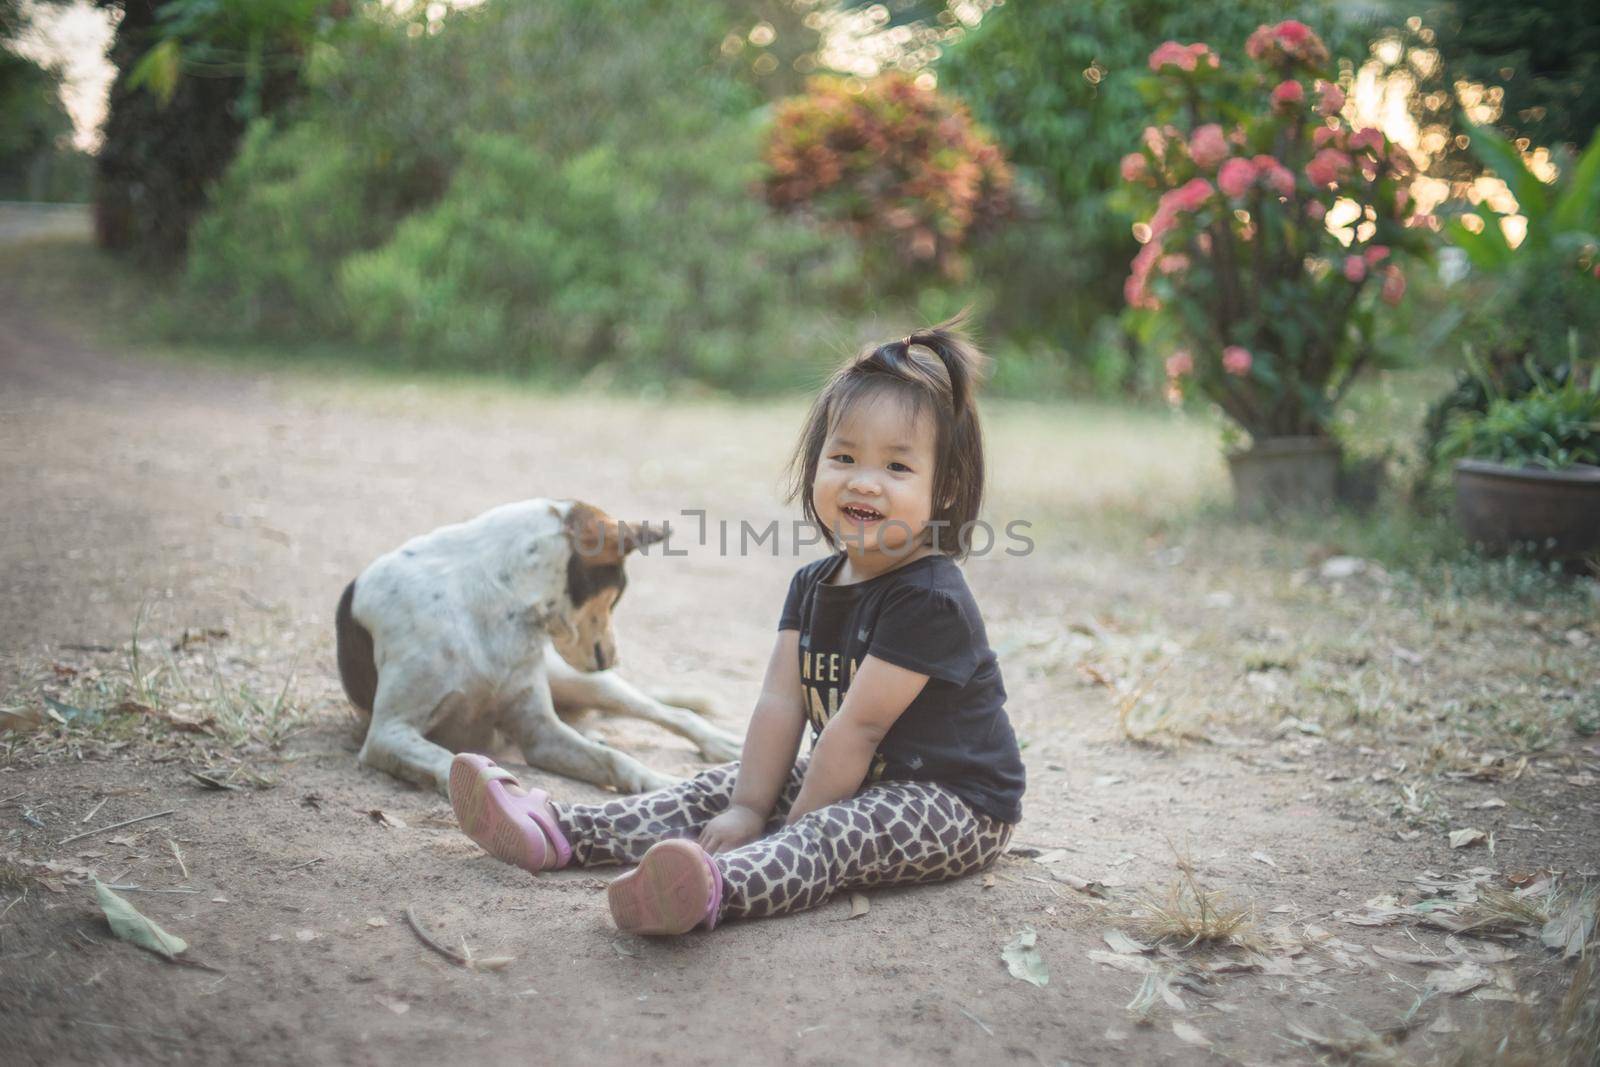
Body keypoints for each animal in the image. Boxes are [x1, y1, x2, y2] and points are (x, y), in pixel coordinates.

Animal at [336, 499, 742, 793]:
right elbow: (450, 760)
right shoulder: (389, 734)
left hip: (582, 681)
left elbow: (616, 760)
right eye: (618, 594)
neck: (500, 605)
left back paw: (722, 744)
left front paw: (661, 783)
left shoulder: (540, 733)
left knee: (673, 714)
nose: (614, 659)